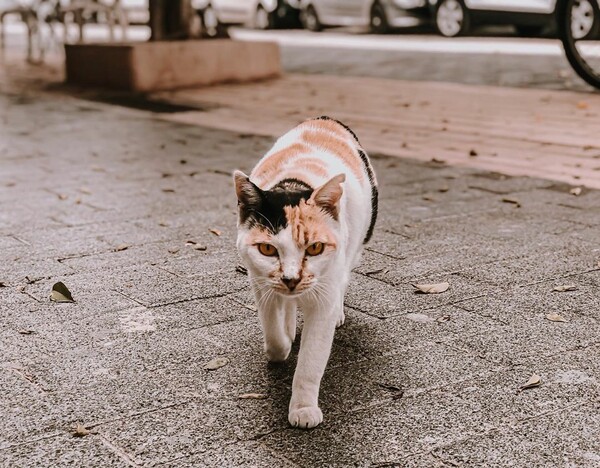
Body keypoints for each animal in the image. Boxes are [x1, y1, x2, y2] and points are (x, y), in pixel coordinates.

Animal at [233, 116, 378, 428]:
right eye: (267, 249)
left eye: (315, 248)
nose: (292, 279)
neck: (294, 181)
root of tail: (324, 119)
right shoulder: (259, 281)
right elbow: (273, 333)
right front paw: (282, 344)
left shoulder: (324, 295)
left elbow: (312, 360)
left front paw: (302, 409)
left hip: (354, 248)